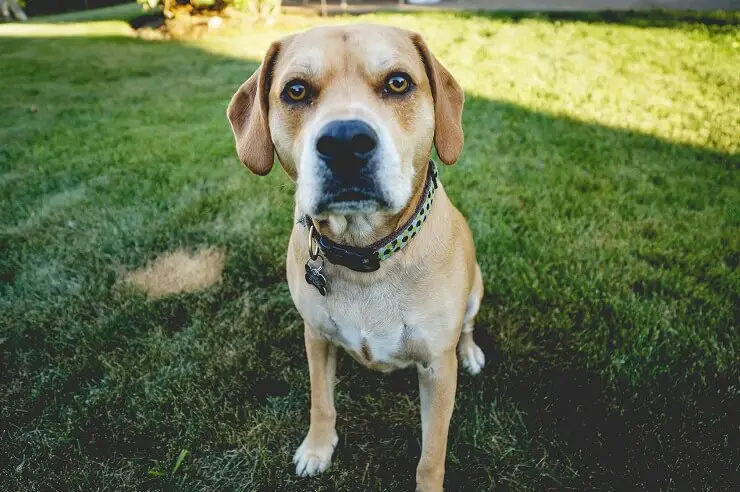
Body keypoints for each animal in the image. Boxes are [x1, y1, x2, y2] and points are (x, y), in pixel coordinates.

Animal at [228, 24, 488, 492]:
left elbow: (431, 454)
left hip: (476, 288)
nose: (345, 141)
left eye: (398, 82)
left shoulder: (437, 370)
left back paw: (472, 351)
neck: (367, 253)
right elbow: (321, 401)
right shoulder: (315, 337)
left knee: (468, 325)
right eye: (296, 90)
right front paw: (317, 449)